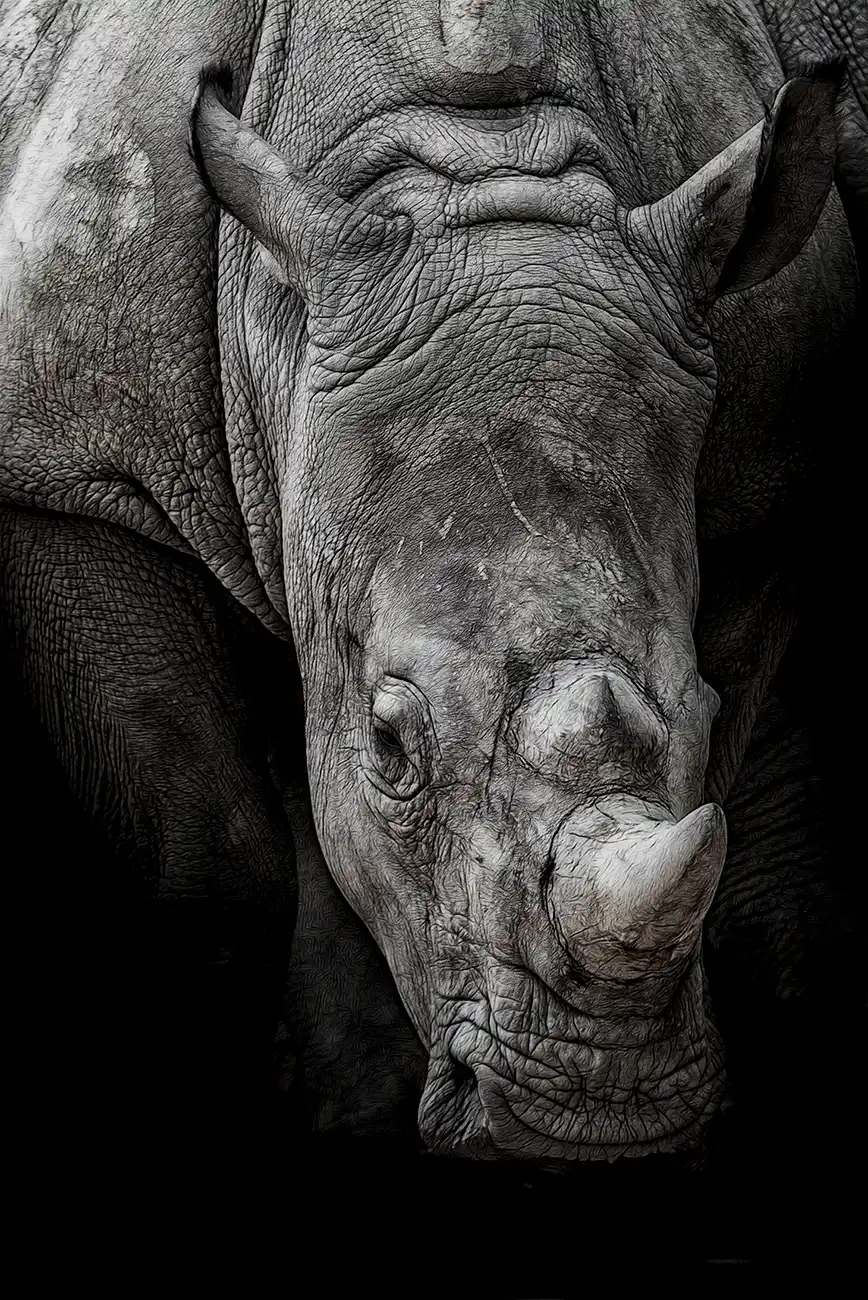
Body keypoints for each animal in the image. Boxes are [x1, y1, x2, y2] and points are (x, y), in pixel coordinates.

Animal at [1, 0, 865, 1168]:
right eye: (388, 747)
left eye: (702, 705)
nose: (596, 1120)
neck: (468, 168)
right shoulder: (69, 475)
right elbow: (208, 867)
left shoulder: (765, 495)